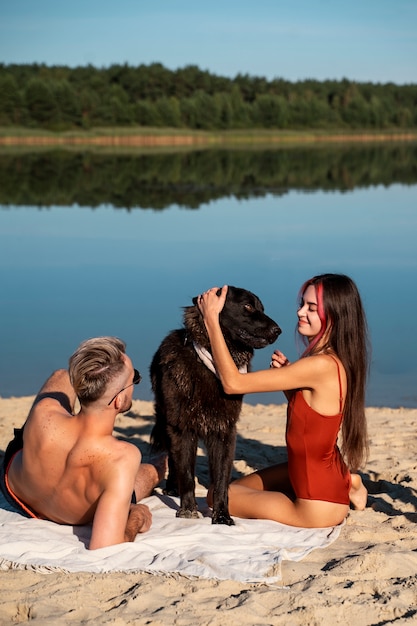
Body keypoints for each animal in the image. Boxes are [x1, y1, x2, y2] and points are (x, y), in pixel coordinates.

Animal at [150, 286, 280, 524]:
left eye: (262, 308)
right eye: (247, 306)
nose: (278, 330)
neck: (209, 363)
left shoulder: (224, 432)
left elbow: (221, 480)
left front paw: (221, 516)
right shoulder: (183, 429)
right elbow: (186, 474)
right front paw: (188, 510)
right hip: (167, 421)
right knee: (172, 458)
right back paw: (172, 487)